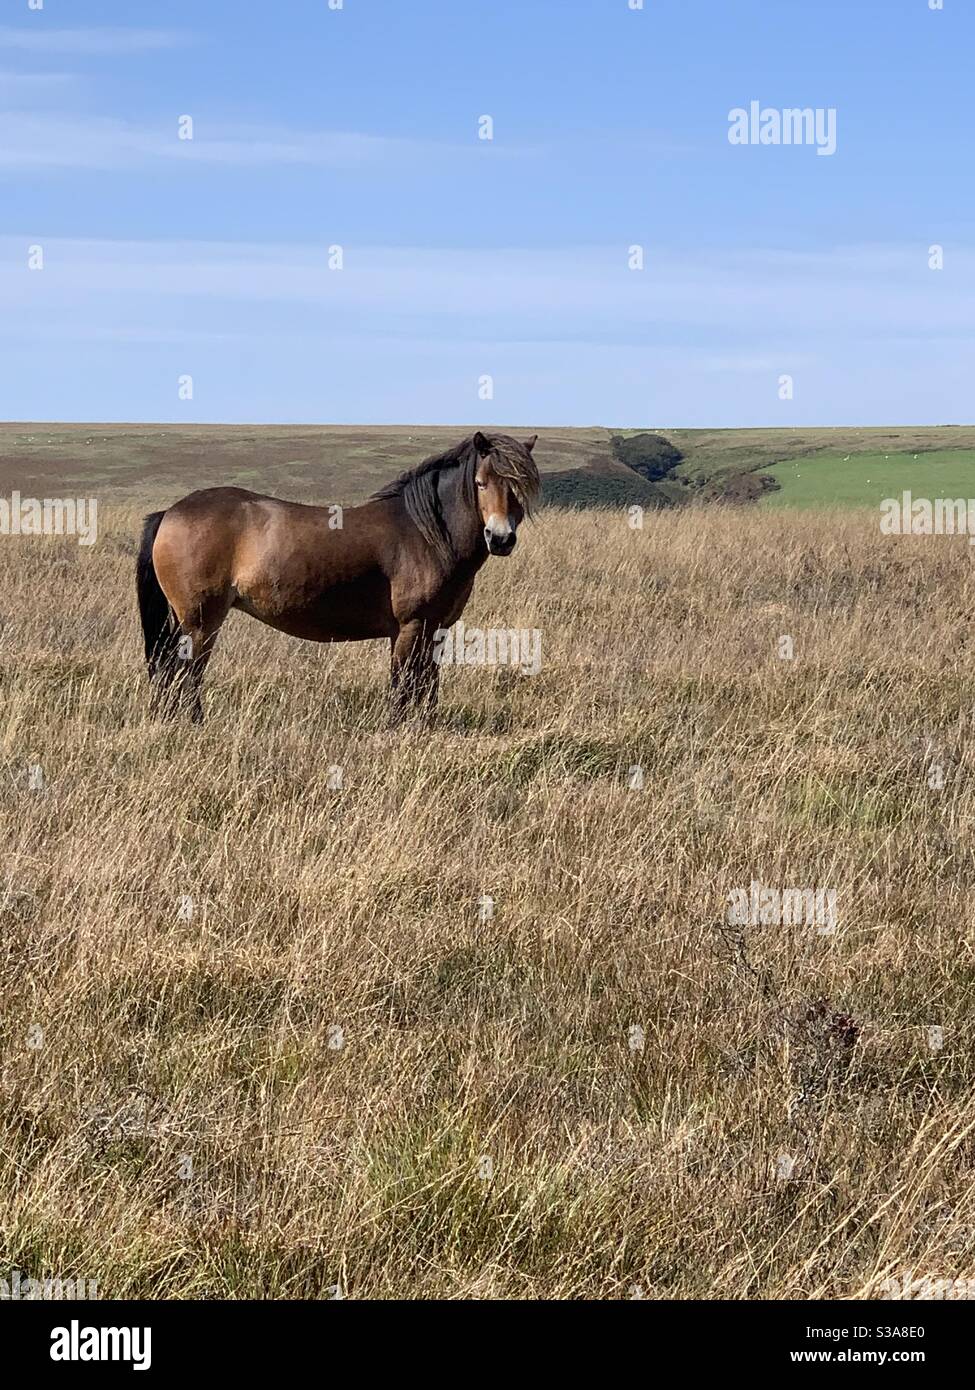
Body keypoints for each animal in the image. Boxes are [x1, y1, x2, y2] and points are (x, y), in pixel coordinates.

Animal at [136, 431, 540, 725]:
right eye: (481, 482)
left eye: (520, 486)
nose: (500, 538)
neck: (424, 533)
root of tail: (171, 511)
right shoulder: (410, 627)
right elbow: (403, 684)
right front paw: (396, 728)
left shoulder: (435, 628)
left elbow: (427, 684)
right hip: (200, 622)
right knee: (186, 672)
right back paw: (194, 722)